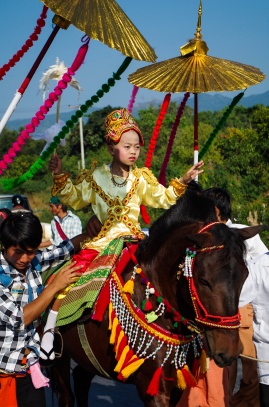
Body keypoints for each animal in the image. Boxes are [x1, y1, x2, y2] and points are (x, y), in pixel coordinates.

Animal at [50, 190, 264, 406]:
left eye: (244, 276)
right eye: (203, 280)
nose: (229, 350)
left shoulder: (176, 385)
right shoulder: (153, 389)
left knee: (81, 379)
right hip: (57, 355)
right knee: (67, 394)